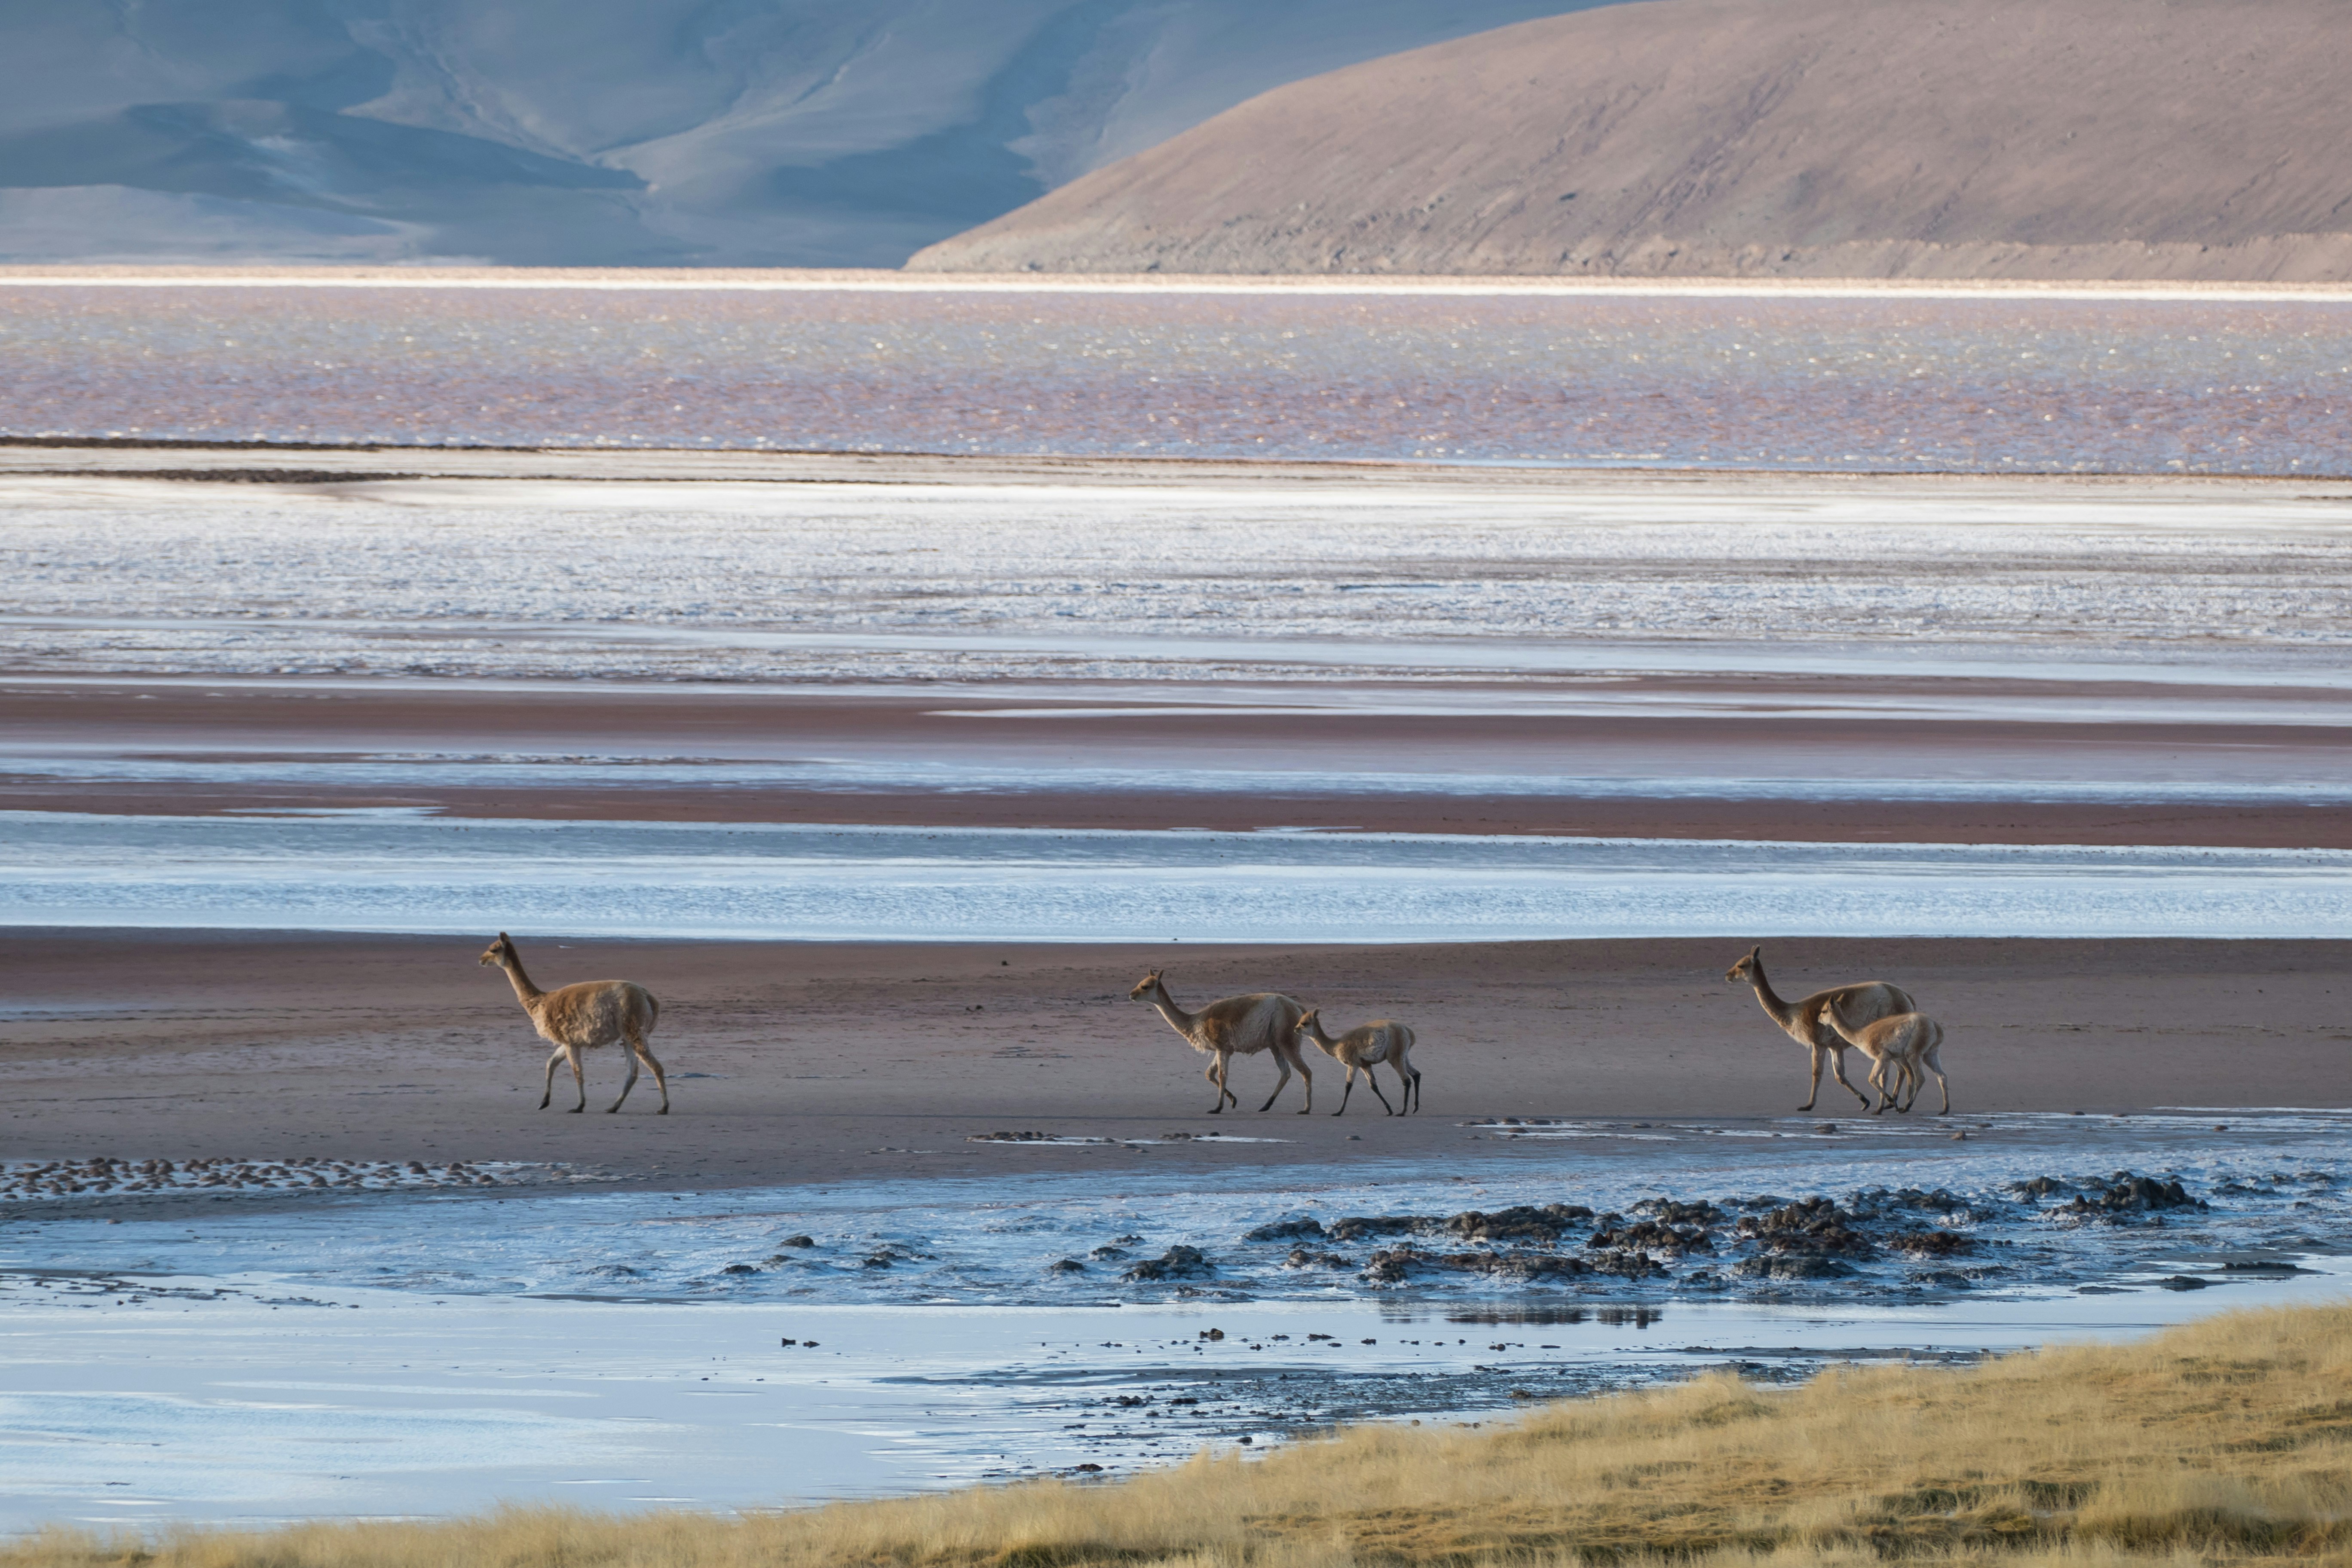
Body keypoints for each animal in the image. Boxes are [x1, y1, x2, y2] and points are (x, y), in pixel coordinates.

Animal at [478, 933, 669, 1114]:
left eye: (493, 949)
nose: (481, 960)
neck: (540, 1002)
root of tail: (649, 998)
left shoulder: (569, 1041)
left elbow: (577, 1073)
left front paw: (579, 1106)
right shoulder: (569, 1041)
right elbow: (551, 1064)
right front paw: (544, 1102)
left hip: (634, 1029)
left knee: (656, 1067)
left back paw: (663, 1108)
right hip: (628, 1036)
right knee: (632, 1073)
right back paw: (613, 1107)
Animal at [1129, 970, 1312, 1113]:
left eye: (1145, 986)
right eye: (1139, 983)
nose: (1131, 995)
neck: (1196, 1021)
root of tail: (1299, 1007)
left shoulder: (1222, 1048)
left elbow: (1223, 1076)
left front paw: (1217, 1108)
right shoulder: (1223, 1049)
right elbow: (1209, 1074)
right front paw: (1233, 1100)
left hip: (1287, 1041)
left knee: (1306, 1071)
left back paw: (1306, 1109)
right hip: (1276, 1045)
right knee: (1286, 1073)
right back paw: (1266, 1105)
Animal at [1294, 1009, 1420, 1116]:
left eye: (1304, 1023)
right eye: (1299, 1021)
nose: (1295, 1029)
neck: (1336, 1045)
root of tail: (1408, 1031)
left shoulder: (1353, 1064)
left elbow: (1348, 1086)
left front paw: (1339, 1112)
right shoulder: (1365, 1064)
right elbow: (1373, 1086)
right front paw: (1389, 1110)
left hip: (1395, 1057)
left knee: (1406, 1080)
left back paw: (1403, 1112)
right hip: (1403, 1056)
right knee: (1416, 1074)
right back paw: (1415, 1108)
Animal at [1724, 946, 1916, 1111]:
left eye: (1741, 965)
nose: (1727, 975)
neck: (1794, 1013)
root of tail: (1907, 997)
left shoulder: (1818, 1043)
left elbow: (1817, 1073)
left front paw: (1808, 1105)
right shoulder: (1835, 1046)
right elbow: (1840, 1076)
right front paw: (1864, 1101)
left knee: (1898, 1069)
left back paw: (1892, 1103)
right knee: (1901, 1069)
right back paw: (1893, 1103)